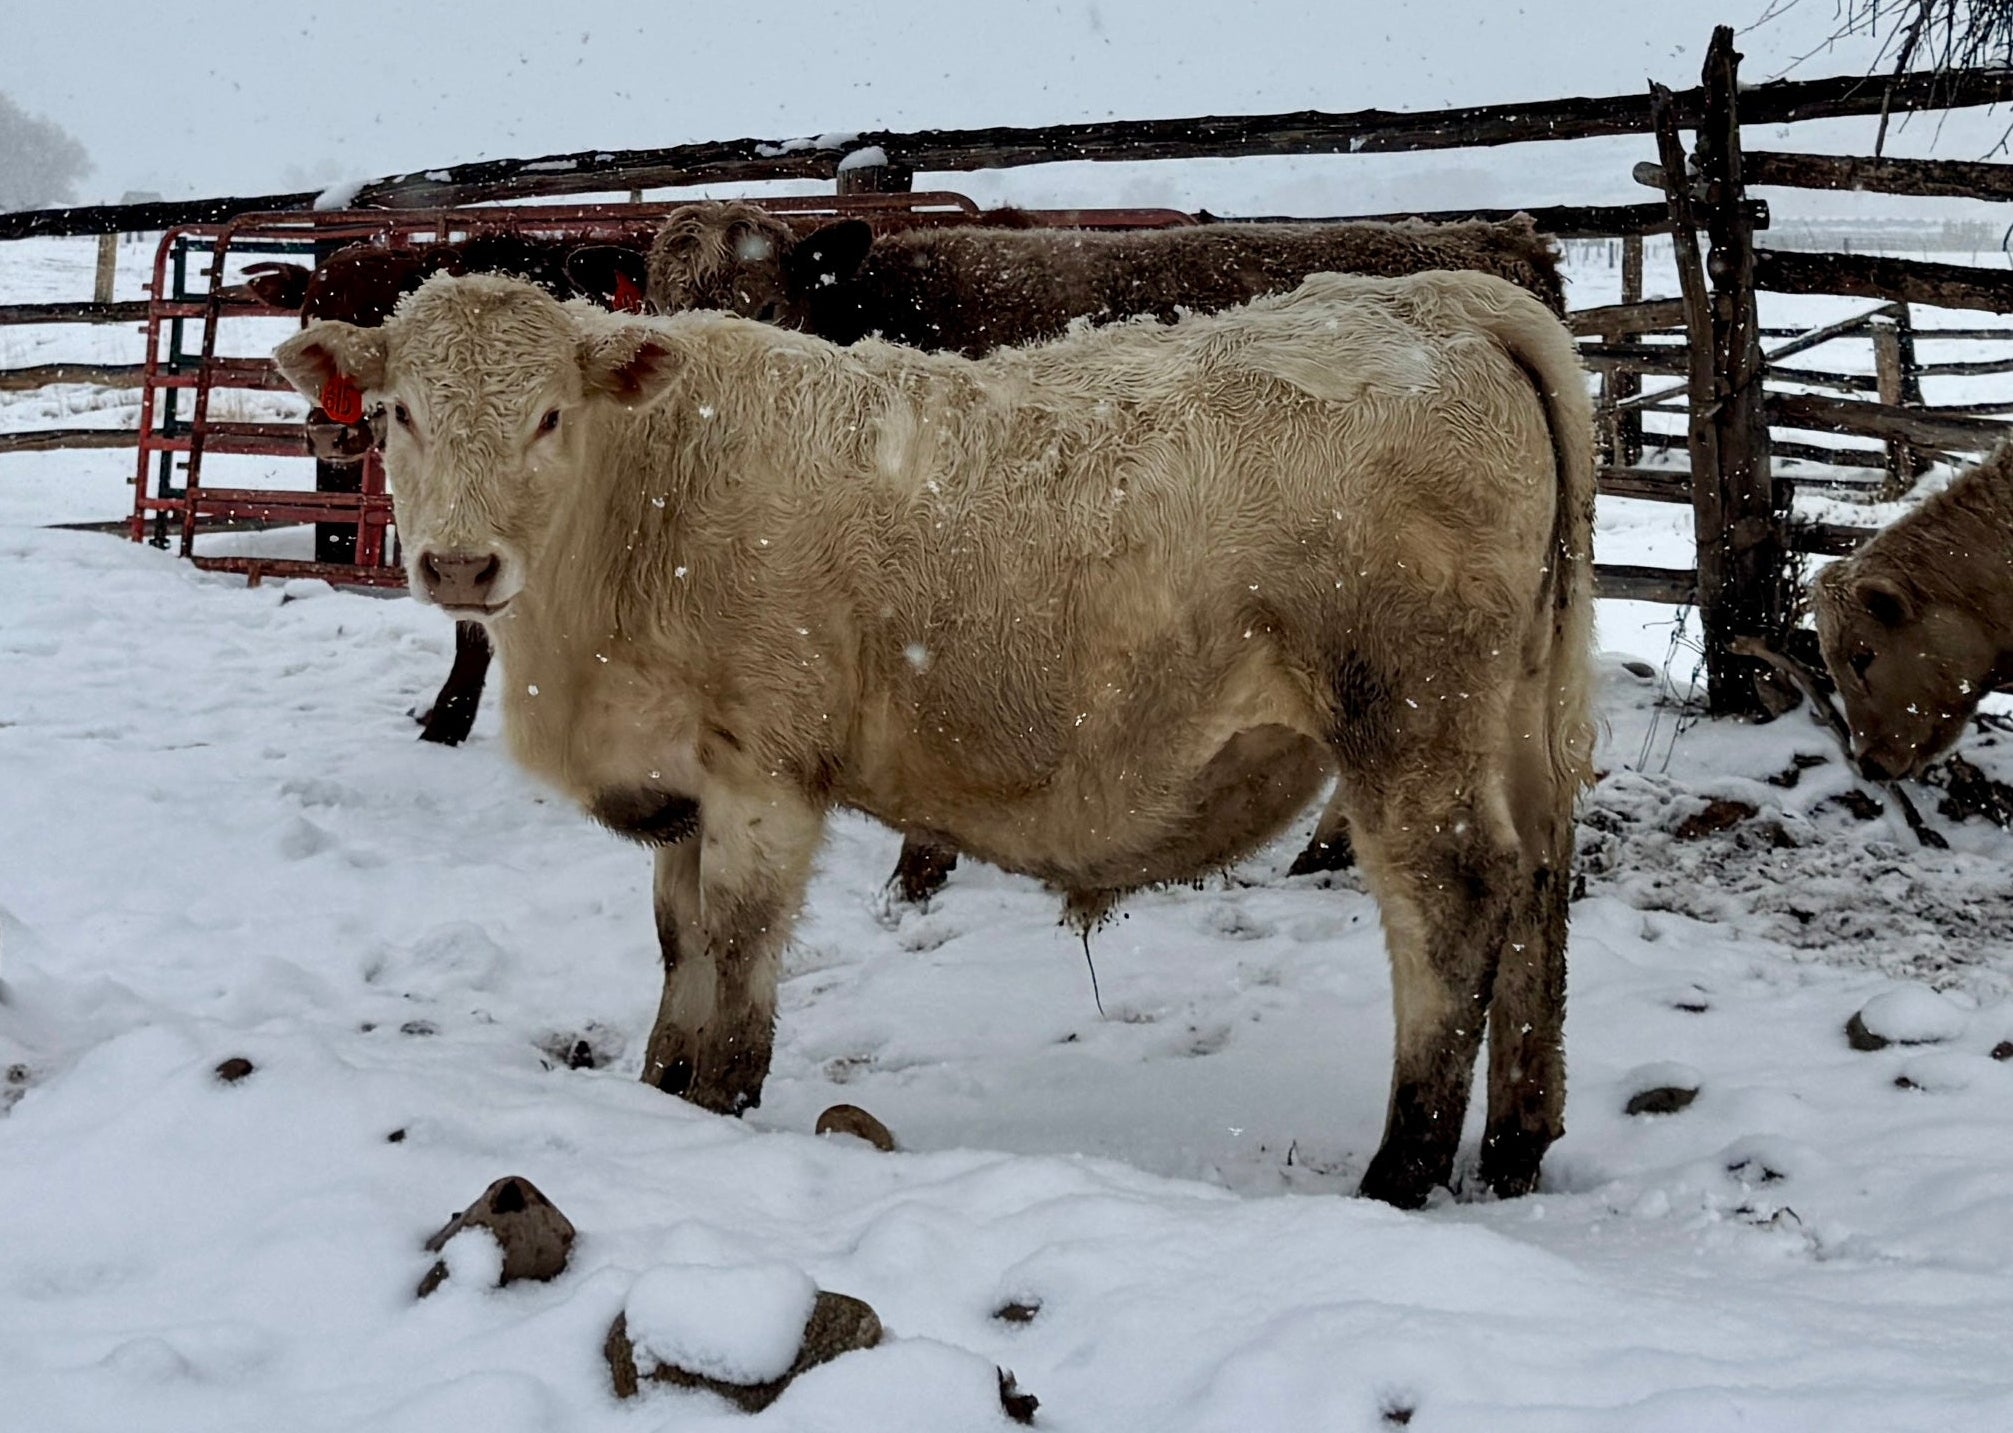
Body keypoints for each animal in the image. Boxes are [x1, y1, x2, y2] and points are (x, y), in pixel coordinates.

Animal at [272, 267, 1596, 1208]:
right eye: (397, 413)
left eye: (549, 416)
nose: (458, 563)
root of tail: (1436, 297)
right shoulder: (681, 782)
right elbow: (677, 948)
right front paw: (658, 1090)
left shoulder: (765, 770)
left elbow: (737, 960)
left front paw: (715, 1114)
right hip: (1516, 719)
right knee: (1539, 881)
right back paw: (1517, 1141)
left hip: (1407, 718)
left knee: (1455, 902)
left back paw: (1400, 1173)